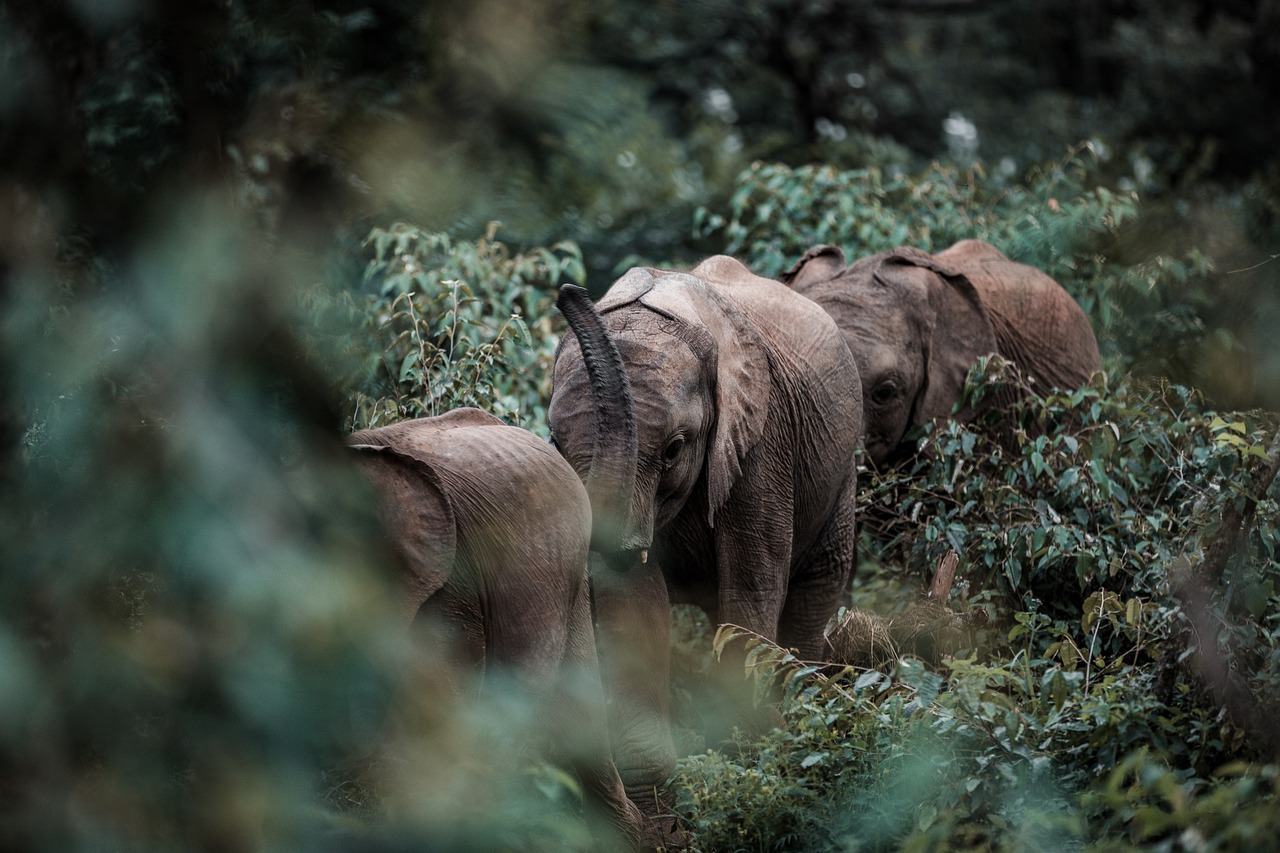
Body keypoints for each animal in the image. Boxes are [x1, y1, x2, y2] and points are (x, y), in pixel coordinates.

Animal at [547, 256, 860, 840]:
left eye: (674, 448)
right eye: (554, 443)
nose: (568, 290)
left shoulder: (762, 441)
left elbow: (751, 585)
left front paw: (749, 776)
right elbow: (632, 600)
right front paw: (662, 817)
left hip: (841, 472)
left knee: (815, 587)